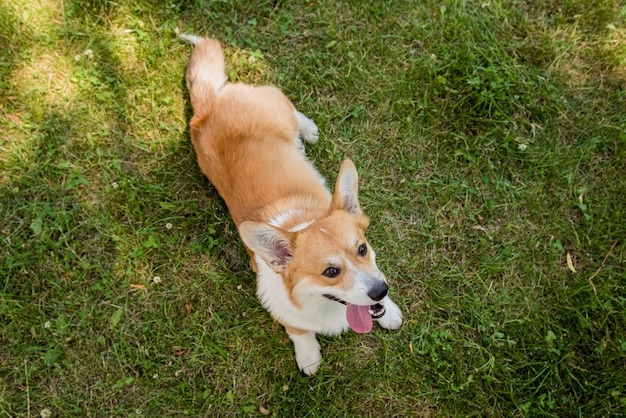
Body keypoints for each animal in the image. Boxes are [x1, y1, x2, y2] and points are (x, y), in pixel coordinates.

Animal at [183, 35, 402, 376]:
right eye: (330, 271)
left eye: (362, 249)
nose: (381, 291)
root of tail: (207, 106)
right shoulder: (281, 309)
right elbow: (299, 332)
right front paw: (309, 357)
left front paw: (389, 311)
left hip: (279, 111)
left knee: (290, 107)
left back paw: (307, 131)